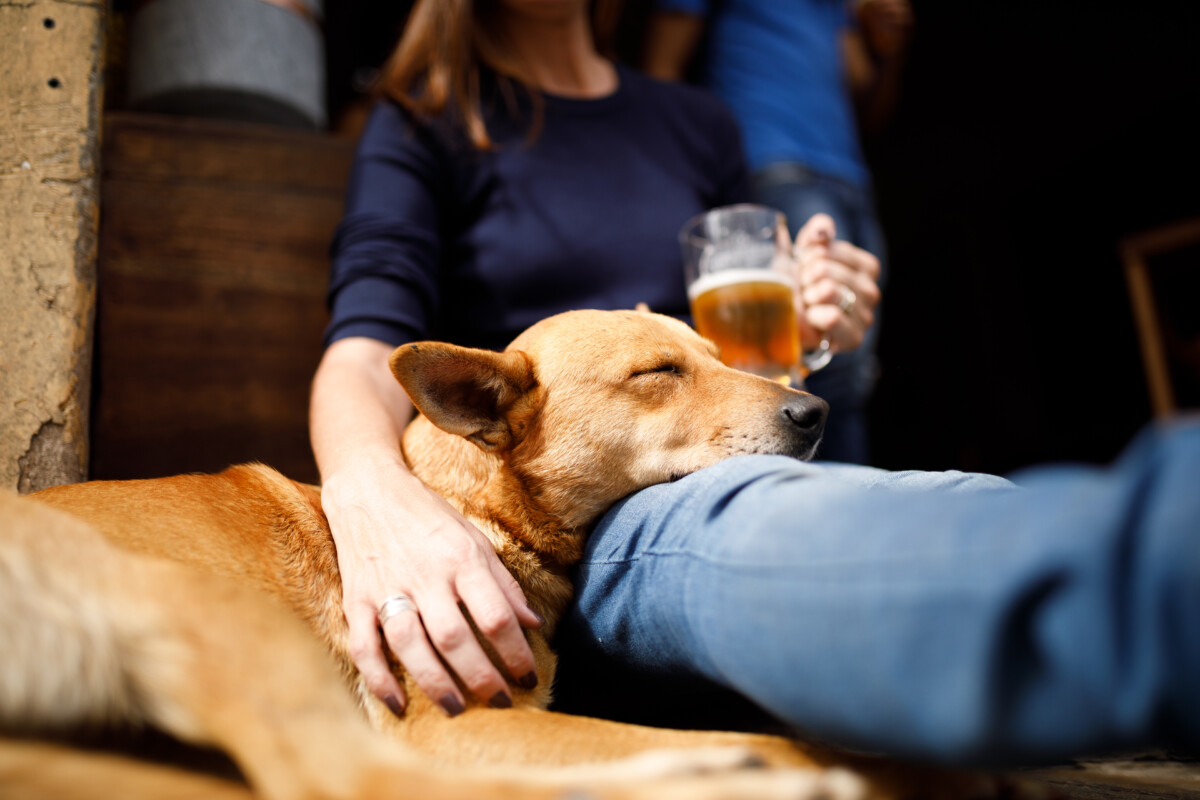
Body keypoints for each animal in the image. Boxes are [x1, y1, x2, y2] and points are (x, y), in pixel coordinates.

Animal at [14, 309, 988, 796]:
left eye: (715, 355)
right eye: (657, 373)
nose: (814, 413)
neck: (468, 507)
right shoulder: (458, 723)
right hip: (217, 613)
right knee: (345, 780)